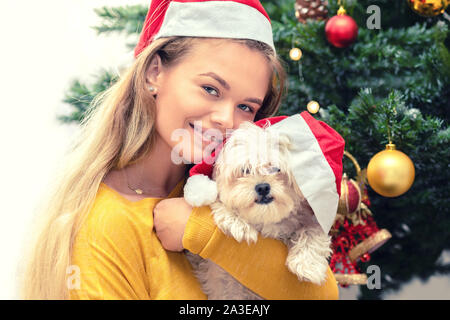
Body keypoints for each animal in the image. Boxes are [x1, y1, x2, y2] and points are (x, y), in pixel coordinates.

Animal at [185, 120, 332, 300]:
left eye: (276, 169)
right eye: (245, 170)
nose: (262, 187)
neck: (265, 220)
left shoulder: (308, 217)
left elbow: (312, 230)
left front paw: (307, 264)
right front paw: (237, 222)